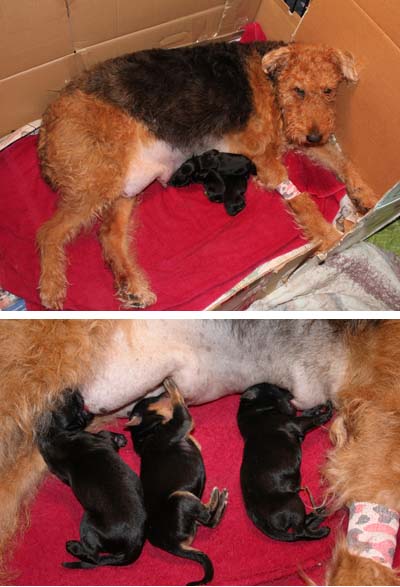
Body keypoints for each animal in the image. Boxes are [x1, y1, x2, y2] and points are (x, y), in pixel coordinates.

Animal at [36, 40, 376, 308]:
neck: (272, 84)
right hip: (100, 179)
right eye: (299, 90)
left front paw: (366, 196)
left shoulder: (295, 142)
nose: (315, 135)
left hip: (126, 187)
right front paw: (331, 238)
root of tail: (46, 126)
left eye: (329, 90)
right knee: (48, 232)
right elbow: (303, 200)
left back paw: (133, 287)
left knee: (108, 235)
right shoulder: (264, 159)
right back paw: (52, 288)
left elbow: (342, 161)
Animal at [36, 390, 147, 568]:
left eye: (65, 399)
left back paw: (73, 548)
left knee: (94, 557)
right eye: (74, 402)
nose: (73, 389)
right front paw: (119, 438)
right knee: (94, 556)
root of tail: (134, 543)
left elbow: (104, 434)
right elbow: (105, 435)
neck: (56, 434)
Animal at [128, 378, 228, 584]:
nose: (161, 391)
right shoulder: (182, 423)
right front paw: (171, 384)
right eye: (149, 400)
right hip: (180, 498)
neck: (147, 431)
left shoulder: (190, 435)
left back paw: (218, 501)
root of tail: (169, 544)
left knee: (208, 519)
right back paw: (218, 498)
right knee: (208, 518)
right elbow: (179, 406)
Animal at [238, 384, 332, 544]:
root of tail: (256, 515)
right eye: (272, 389)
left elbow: (306, 413)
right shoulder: (296, 423)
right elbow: (314, 419)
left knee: (304, 524)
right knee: (300, 532)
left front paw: (318, 407)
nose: (290, 393)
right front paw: (329, 409)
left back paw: (319, 513)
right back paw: (322, 530)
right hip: (294, 503)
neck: (255, 412)